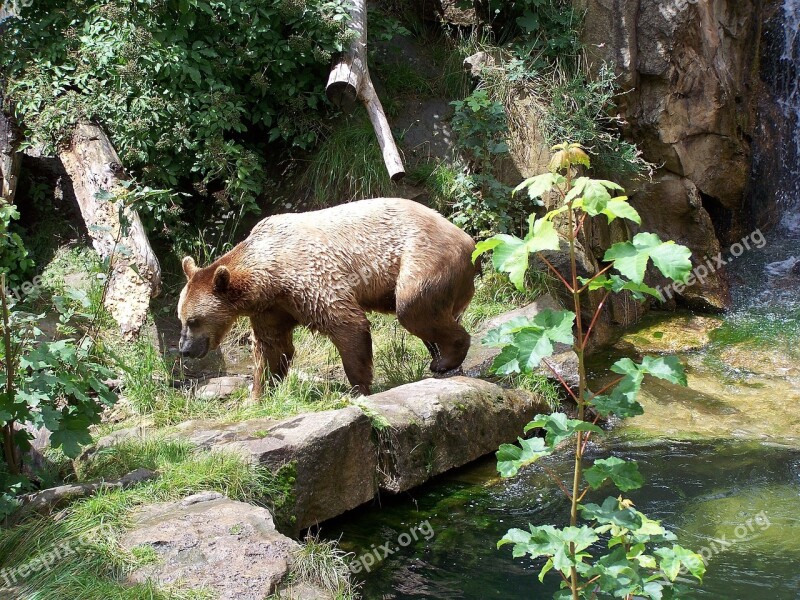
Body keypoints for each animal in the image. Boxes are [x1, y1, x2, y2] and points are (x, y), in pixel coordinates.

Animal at [178, 197, 478, 396]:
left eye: (193, 320)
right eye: (181, 318)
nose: (184, 349)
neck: (268, 276)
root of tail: (467, 239)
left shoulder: (308, 278)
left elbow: (347, 324)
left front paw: (358, 387)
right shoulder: (272, 307)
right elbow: (272, 347)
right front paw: (259, 394)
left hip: (422, 257)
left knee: (413, 307)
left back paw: (445, 358)